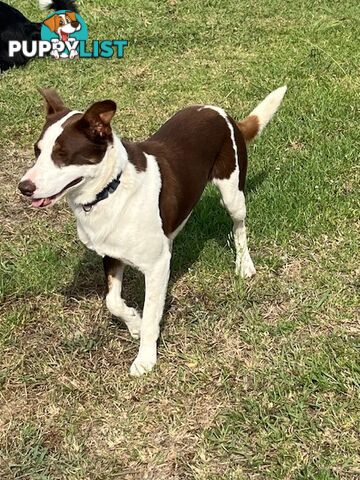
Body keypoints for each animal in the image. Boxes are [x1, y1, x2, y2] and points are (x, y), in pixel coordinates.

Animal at [17, 86, 286, 376]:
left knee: (239, 227)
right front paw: (134, 321)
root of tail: (222, 112)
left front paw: (145, 358)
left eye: (62, 154)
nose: (24, 187)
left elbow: (150, 315)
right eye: (37, 151)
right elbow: (112, 301)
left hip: (232, 193)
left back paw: (244, 264)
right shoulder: (112, 255)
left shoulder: (155, 267)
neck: (111, 188)